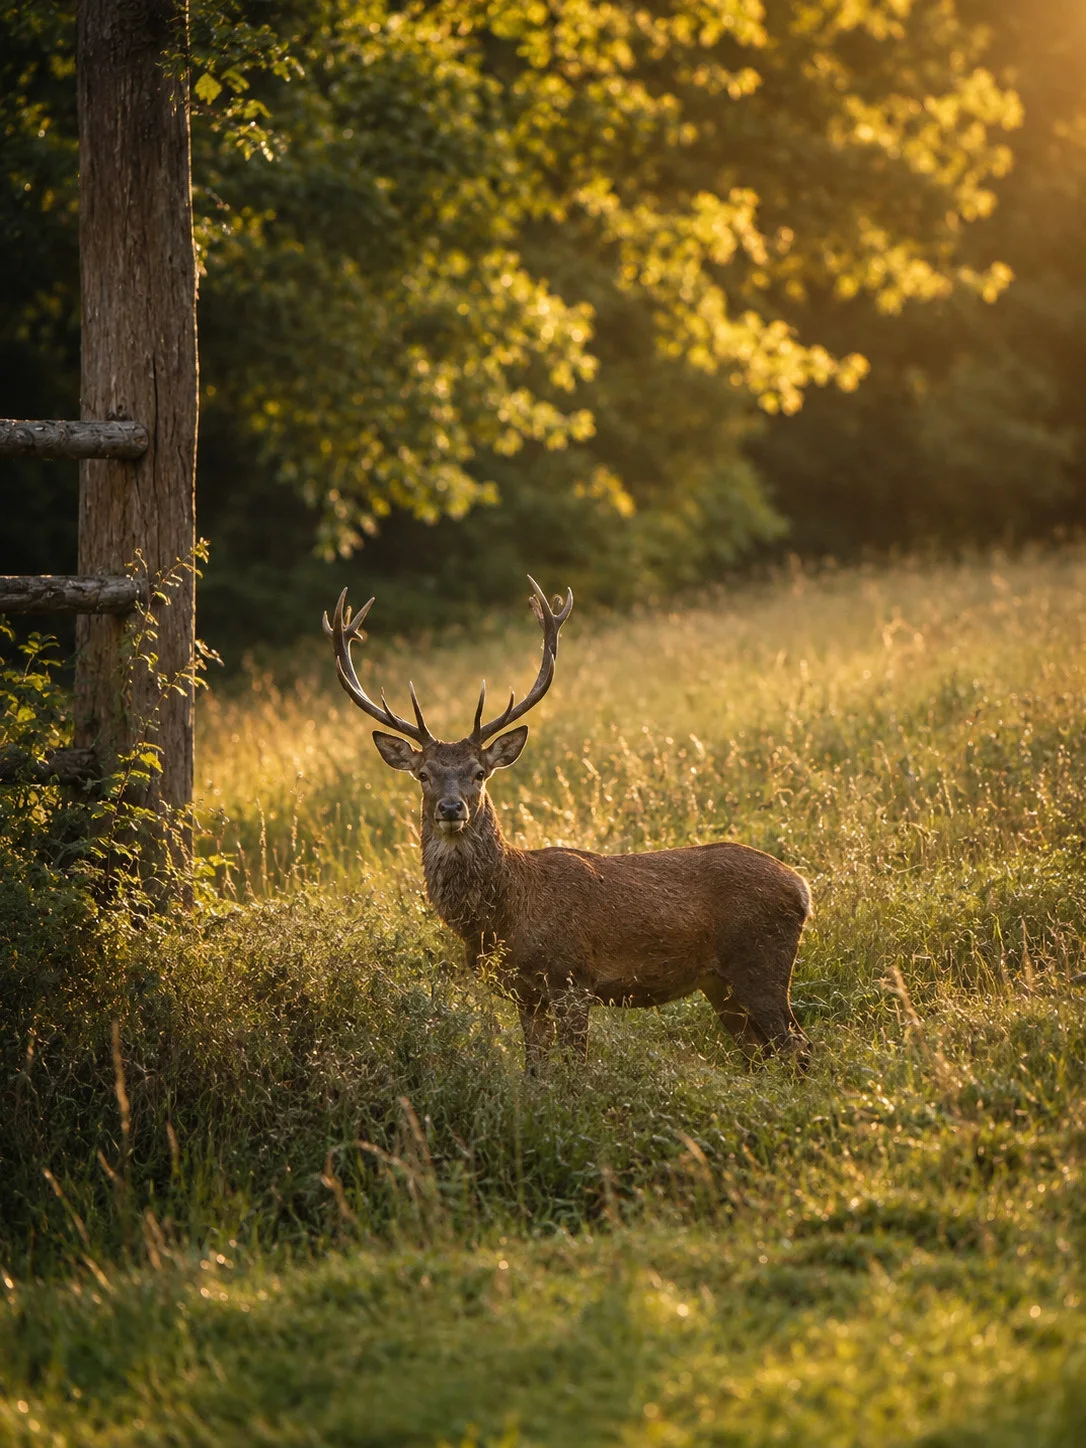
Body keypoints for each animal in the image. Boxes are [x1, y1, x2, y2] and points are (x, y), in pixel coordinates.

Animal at [323, 579, 812, 1070]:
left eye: (479, 773)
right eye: (423, 774)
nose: (450, 808)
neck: (506, 913)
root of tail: (803, 887)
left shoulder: (572, 978)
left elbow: (576, 1070)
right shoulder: (526, 995)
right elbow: (535, 1071)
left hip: (760, 963)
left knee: (799, 1047)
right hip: (721, 985)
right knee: (764, 1054)